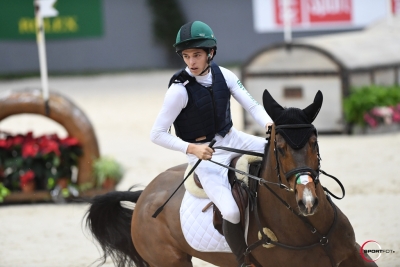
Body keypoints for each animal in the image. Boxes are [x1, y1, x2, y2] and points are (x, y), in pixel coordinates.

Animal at [85, 90, 378, 267]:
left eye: (314, 143)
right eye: (280, 148)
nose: (307, 201)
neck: (312, 229)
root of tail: (144, 194)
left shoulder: (352, 255)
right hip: (171, 261)